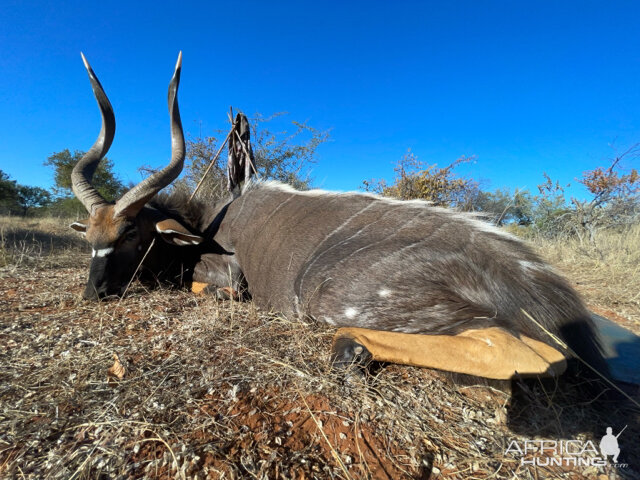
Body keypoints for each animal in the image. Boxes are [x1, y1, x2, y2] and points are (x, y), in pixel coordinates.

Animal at [70, 52, 608, 382]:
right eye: (89, 238)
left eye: (132, 235)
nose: (93, 293)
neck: (208, 225)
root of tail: (530, 278)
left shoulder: (229, 274)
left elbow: (211, 288)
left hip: (329, 294)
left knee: (531, 351)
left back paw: (350, 346)